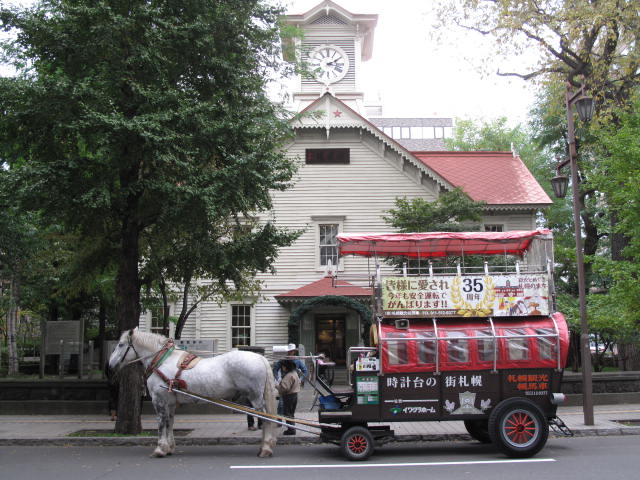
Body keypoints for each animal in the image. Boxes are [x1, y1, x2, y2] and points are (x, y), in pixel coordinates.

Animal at [108, 328, 278, 460]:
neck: (162, 361)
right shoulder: (170, 401)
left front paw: (160, 449)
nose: (110, 364)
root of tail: (260, 357)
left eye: (121, 344)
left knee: (266, 418)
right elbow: (169, 422)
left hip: (255, 397)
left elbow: (161, 423)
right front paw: (170, 447)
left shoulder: (159, 399)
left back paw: (265, 448)